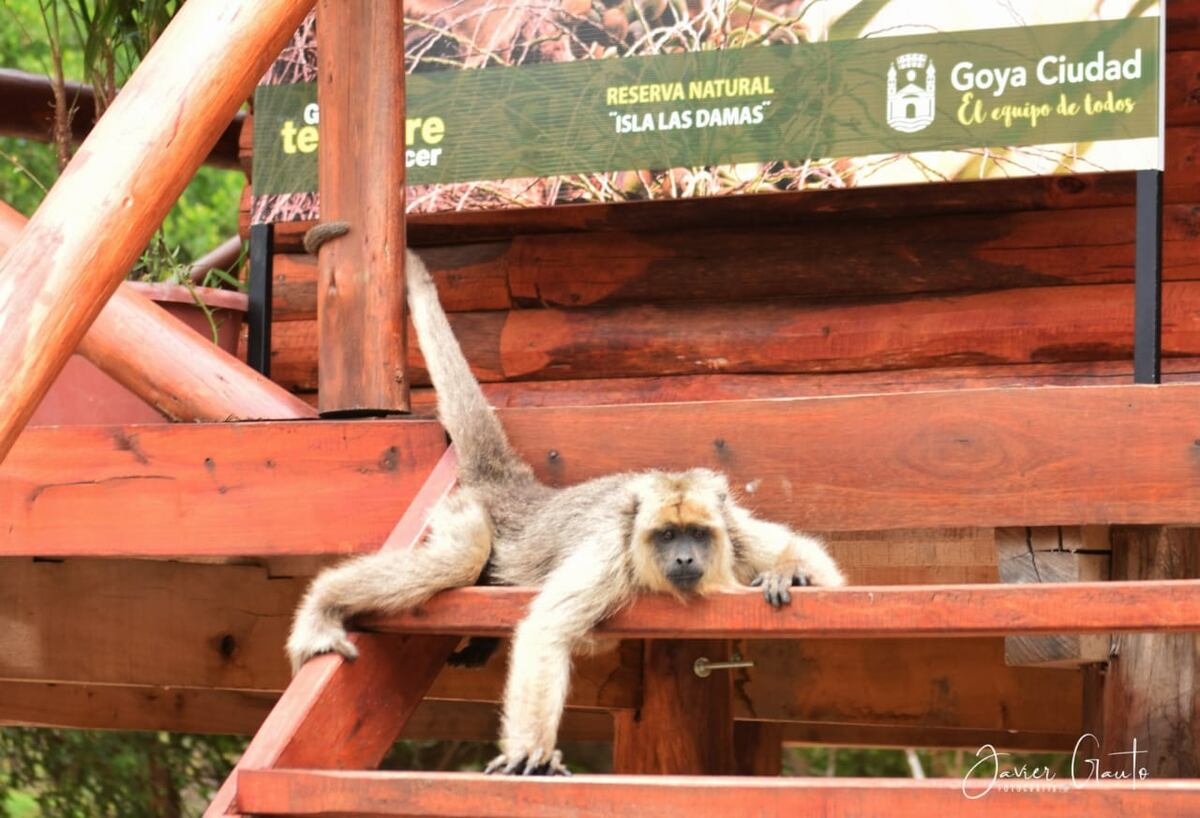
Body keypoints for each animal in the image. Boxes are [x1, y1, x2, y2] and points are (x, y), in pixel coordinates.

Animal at [286, 240, 846, 776]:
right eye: (666, 536)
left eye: (697, 534)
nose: (685, 557)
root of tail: (518, 490)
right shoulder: (611, 555)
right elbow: (546, 630)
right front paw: (529, 752)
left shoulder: (733, 529)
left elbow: (826, 573)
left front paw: (791, 573)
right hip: (464, 511)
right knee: (459, 559)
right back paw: (325, 603)